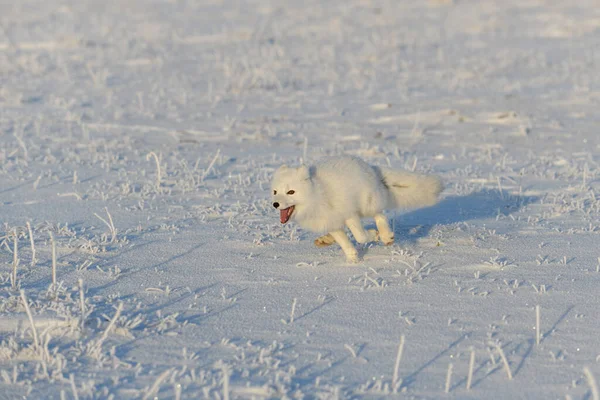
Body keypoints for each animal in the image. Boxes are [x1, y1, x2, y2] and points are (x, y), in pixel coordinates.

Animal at [270, 155, 442, 262]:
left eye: (291, 192)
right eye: (275, 192)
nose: (275, 204)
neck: (317, 195)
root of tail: (371, 167)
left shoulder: (349, 214)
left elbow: (360, 237)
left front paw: (374, 235)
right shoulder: (331, 222)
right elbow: (344, 242)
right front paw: (353, 260)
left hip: (367, 205)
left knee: (380, 215)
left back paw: (386, 236)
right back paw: (324, 240)